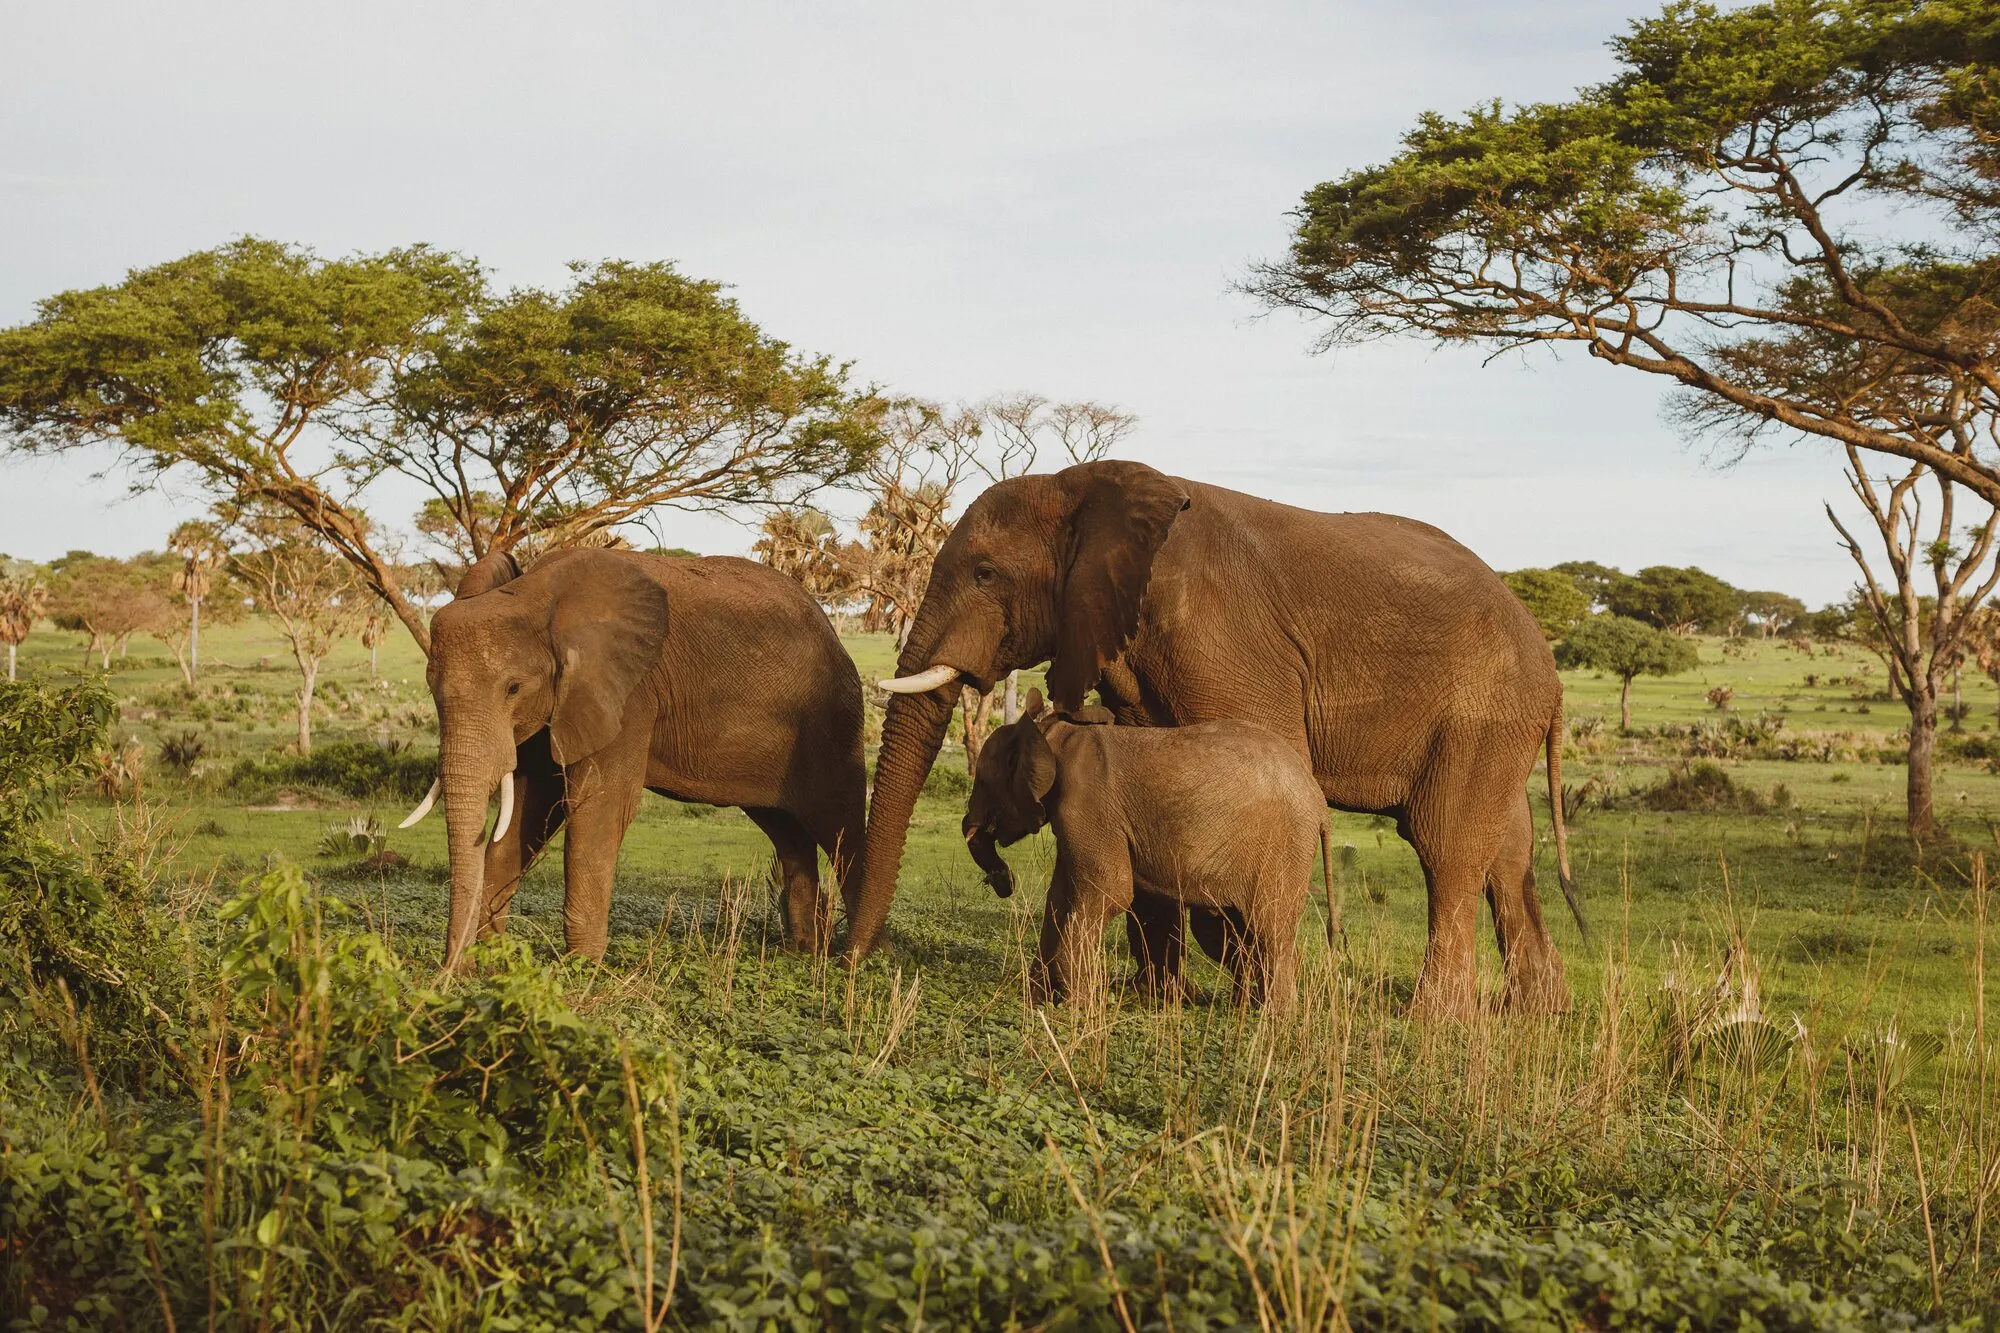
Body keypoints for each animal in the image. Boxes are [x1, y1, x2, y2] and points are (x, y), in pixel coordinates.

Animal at [403, 546, 866, 968]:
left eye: (513, 688)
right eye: (430, 687)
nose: (453, 970)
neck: (536, 592)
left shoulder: (629, 693)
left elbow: (599, 807)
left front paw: (581, 970)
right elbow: (530, 808)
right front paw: (491, 962)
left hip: (832, 720)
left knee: (838, 827)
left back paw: (857, 958)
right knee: (787, 831)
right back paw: (802, 955)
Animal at [964, 690, 1333, 1008]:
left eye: (983, 782)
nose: (1005, 880)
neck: (1056, 732)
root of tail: (1319, 804)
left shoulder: (1088, 808)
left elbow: (1109, 890)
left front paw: (1074, 1006)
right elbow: (1060, 896)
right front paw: (1039, 1000)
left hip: (1283, 846)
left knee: (1270, 926)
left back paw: (1275, 1016)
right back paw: (1247, 1007)